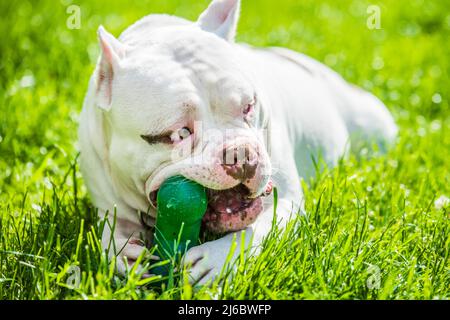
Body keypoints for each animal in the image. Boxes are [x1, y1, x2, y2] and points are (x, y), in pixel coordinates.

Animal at [78, 0, 398, 284]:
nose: (240, 154)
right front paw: (122, 254)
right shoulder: (108, 205)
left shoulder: (288, 202)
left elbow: (262, 228)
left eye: (249, 106)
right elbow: (110, 232)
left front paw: (219, 258)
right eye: (178, 134)